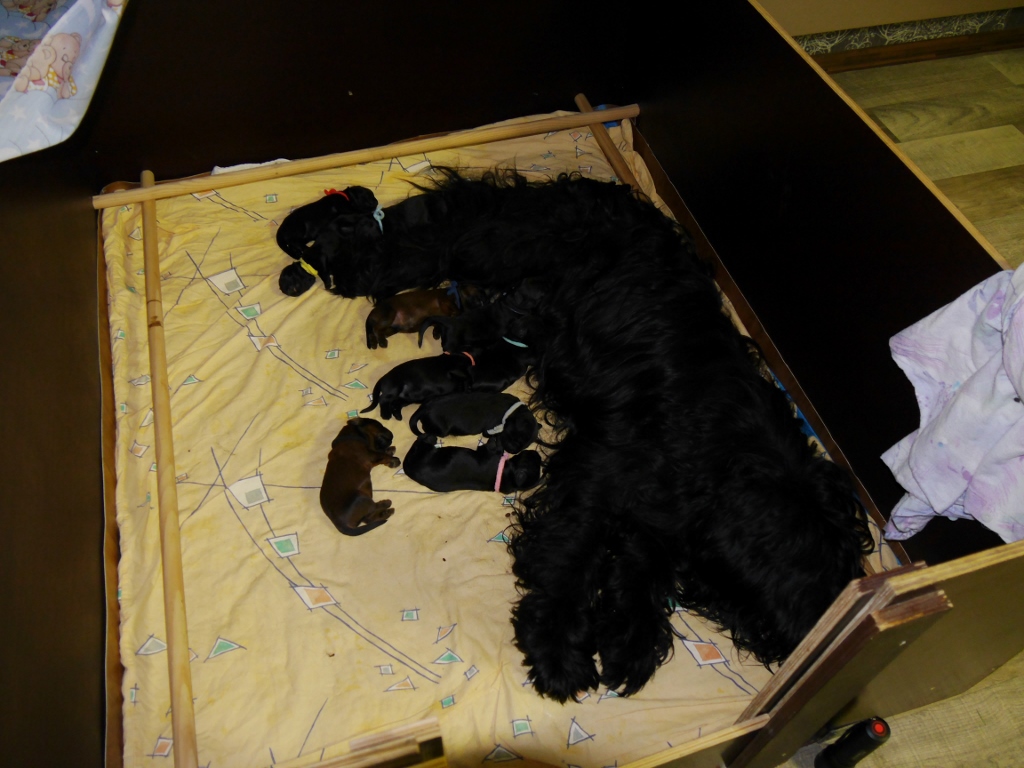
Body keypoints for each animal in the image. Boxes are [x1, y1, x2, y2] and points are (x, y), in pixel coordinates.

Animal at [403, 434, 542, 494]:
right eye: (533, 457)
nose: (538, 454)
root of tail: (406, 467)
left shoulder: (488, 452)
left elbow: (496, 446)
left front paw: (496, 438)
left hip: (421, 450)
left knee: (420, 441)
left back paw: (430, 437)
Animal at [409, 393, 539, 455]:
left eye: (525, 446)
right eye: (517, 439)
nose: (513, 452)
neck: (513, 411)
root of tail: (425, 407)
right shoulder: (489, 429)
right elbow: (495, 433)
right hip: (441, 430)